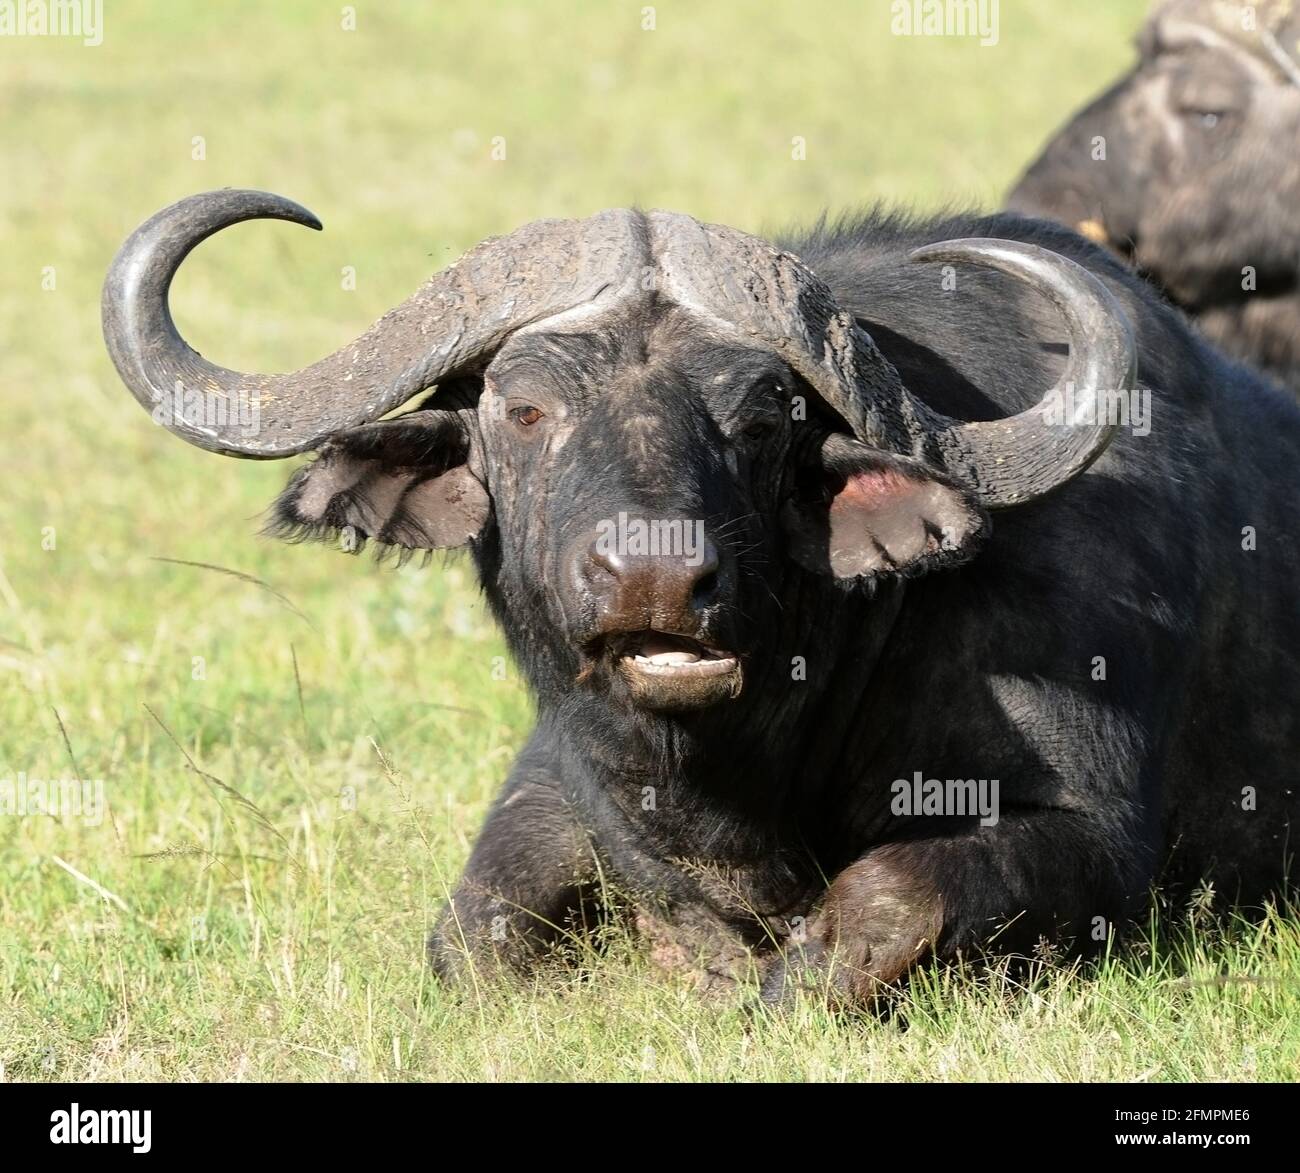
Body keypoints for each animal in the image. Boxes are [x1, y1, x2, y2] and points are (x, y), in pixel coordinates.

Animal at [101, 188, 1300, 1003]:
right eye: (522, 409)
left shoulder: (1102, 841)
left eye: (763, 416)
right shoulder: (562, 773)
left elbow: (889, 892)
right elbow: (474, 933)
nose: (655, 576)